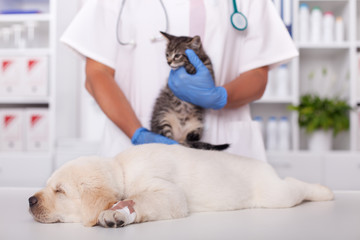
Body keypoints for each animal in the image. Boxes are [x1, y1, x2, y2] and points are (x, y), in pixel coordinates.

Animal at [28, 143, 334, 228]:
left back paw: (326, 191)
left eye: (60, 191)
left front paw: (116, 212)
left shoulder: (171, 194)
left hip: (275, 195)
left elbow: (143, 200)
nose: (30, 201)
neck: (122, 171)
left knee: (294, 185)